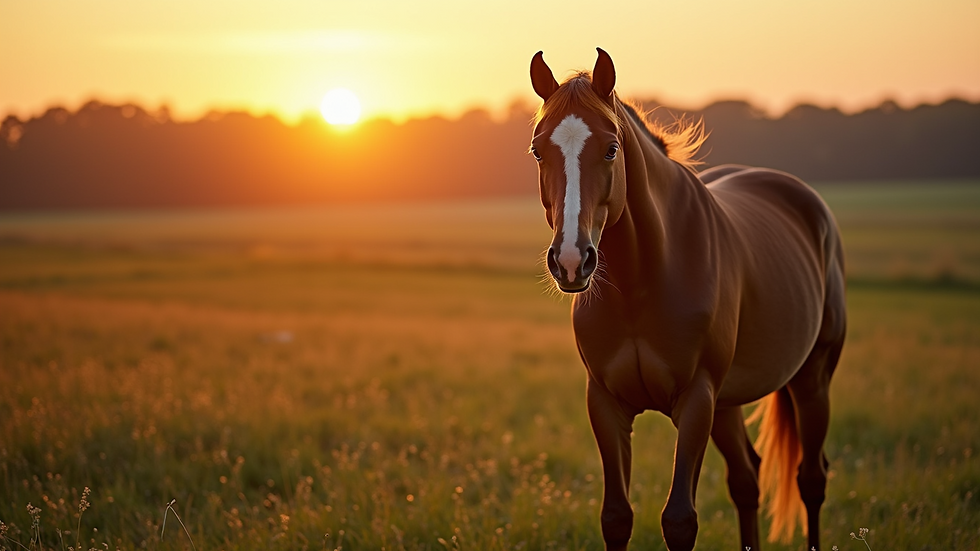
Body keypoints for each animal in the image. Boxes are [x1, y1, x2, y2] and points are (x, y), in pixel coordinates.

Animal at [528, 48, 846, 551]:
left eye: (611, 149)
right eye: (539, 150)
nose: (572, 260)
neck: (643, 281)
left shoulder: (696, 400)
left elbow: (679, 520)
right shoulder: (606, 403)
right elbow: (616, 517)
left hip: (812, 380)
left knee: (811, 479)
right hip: (729, 403)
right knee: (747, 480)